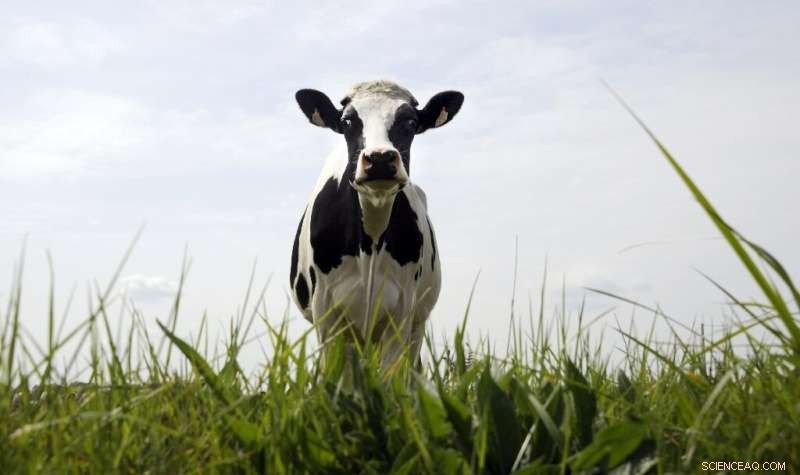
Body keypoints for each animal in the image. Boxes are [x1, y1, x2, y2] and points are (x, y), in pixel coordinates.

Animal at [290, 80, 464, 370]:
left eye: (410, 122)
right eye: (347, 121)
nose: (380, 158)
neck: (370, 241)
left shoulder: (402, 312)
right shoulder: (326, 312)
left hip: (416, 324)